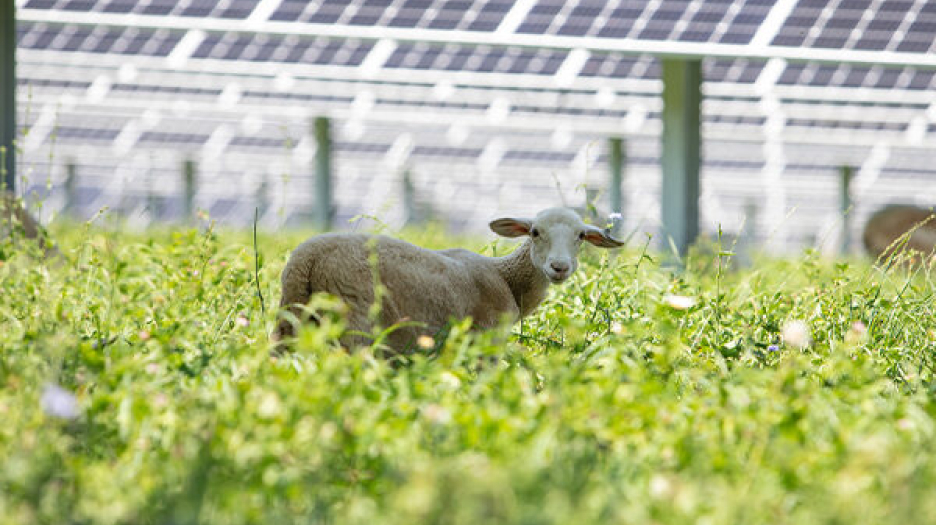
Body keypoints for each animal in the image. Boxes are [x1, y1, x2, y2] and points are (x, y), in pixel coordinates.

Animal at [274, 206, 624, 352]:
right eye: (535, 233)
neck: (506, 279)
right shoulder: (484, 342)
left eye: (581, 236)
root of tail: (305, 261)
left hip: (287, 327)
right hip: (354, 327)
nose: (559, 267)